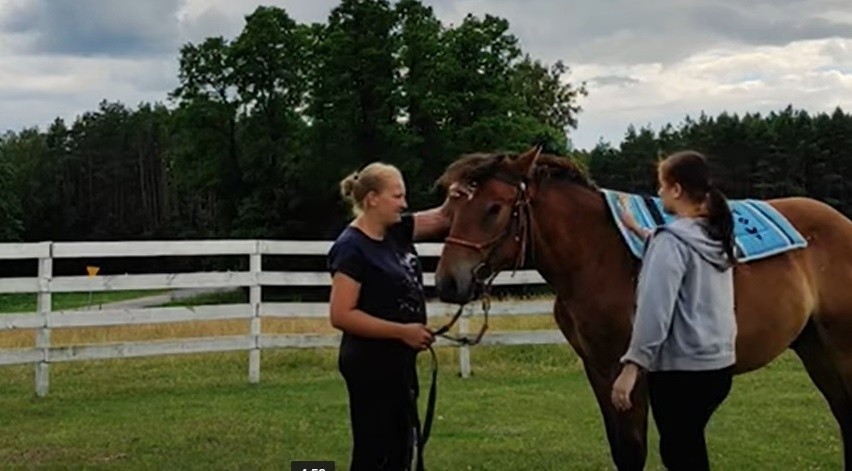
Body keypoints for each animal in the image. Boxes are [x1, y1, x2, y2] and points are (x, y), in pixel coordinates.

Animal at [432, 146, 852, 470]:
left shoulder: (629, 373)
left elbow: (634, 451)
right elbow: (622, 451)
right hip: (814, 348)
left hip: (839, 350)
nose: (449, 282)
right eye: (452, 207)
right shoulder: (599, 370)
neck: (598, 255)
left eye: (494, 208)